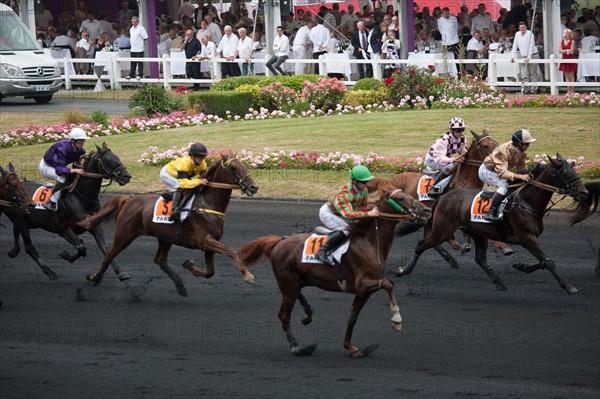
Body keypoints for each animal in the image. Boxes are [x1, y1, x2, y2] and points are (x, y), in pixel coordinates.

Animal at [4, 145, 131, 282]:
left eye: (116, 157)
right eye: (108, 159)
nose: (126, 176)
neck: (81, 198)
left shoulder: (95, 226)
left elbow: (104, 248)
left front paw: (119, 272)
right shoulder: (63, 229)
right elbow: (81, 247)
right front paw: (65, 255)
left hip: (28, 221)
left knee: (15, 230)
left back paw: (13, 251)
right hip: (20, 221)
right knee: (29, 248)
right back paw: (50, 272)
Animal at [79, 150, 258, 296]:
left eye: (244, 166)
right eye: (233, 168)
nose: (254, 187)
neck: (206, 204)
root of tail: (129, 199)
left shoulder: (210, 243)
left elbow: (210, 271)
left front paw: (189, 265)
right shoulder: (205, 241)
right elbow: (232, 252)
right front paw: (247, 274)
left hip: (165, 238)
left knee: (159, 260)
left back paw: (180, 285)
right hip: (124, 235)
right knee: (109, 254)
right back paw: (94, 279)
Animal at [238, 189, 432, 358]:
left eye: (407, 194)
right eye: (400, 198)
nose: (427, 210)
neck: (370, 243)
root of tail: (278, 242)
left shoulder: (364, 292)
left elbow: (352, 318)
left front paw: (352, 348)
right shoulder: (363, 284)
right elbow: (388, 283)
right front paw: (396, 320)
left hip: (294, 282)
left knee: (297, 296)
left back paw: (307, 314)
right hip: (288, 283)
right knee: (284, 315)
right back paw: (298, 348)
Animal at [396, 155, 588, 296]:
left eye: (574, 168)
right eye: (566, 172)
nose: (584, 192)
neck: (527, 202)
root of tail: (443, 197)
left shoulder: (530, 239)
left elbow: (542, 261)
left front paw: (521, 266)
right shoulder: (527, 238)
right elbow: (547, 262)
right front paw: (569, 286)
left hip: (477, 233)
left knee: (480, 260)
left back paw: (499, 282)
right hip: (443, 230)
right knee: (421, 245)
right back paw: (403, 271)